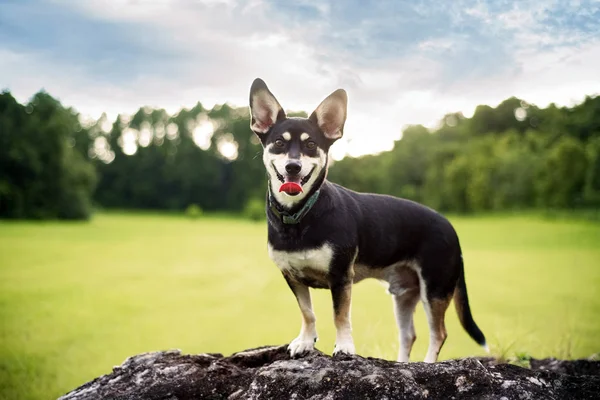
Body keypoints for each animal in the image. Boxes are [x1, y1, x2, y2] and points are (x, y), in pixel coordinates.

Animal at [248, 77, 488, 362]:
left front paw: (344, 347)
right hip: (405, 294)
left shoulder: (341, 276)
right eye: (279, 143)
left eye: (310, 145)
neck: (301, 213)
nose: (293, 167)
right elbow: (307, 313)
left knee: (438, 333)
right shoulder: (292, 276)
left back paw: (429, 364)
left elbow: (340, 315)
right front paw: (305, 342)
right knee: (409, 335)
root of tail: (451, 227)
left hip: (435, 288)